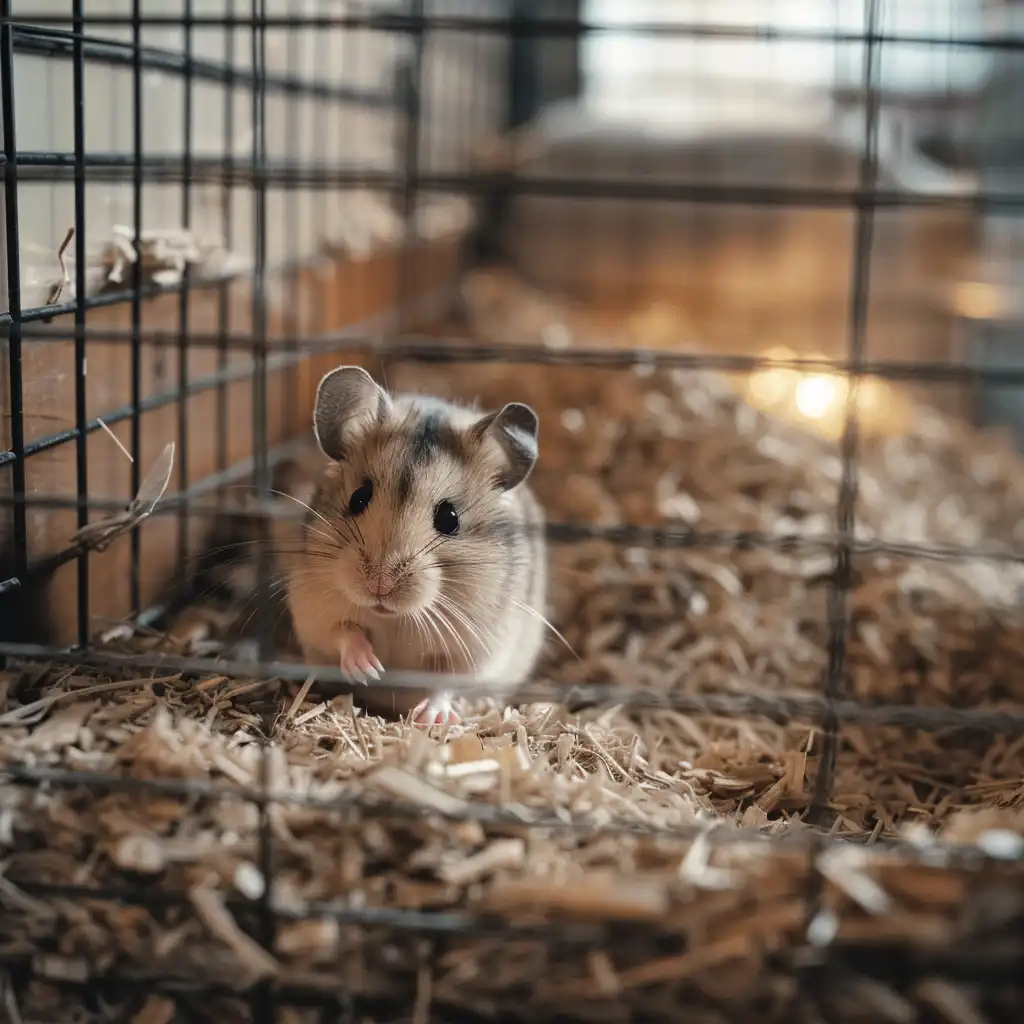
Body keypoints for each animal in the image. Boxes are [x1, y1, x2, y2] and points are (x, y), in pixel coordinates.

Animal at [284, 365, 548, 727]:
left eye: (450, 518)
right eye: (358, 498)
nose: (379, 586)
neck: (394, 619)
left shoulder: (475, 649)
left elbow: (444, 683)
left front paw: (431, 718)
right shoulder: (315, 611)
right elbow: (344, 632)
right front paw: (368, 669)